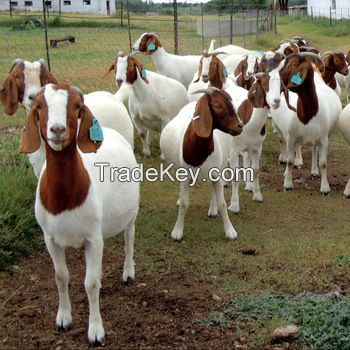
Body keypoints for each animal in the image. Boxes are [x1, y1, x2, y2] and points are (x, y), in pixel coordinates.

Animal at [18, 83, 139, 346]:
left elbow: (91, 284)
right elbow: (61, 276)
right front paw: (63, 319)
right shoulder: (50, 238)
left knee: (129, 237)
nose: (57, 129)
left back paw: (128, 272)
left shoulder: (93, 238)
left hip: (132, 211)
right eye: (39, 106)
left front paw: (95, 331)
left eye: (75, 106)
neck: (65, 199)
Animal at [160, 87, 242, 241]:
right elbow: (184, 204)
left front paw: (230, 231)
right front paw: (177, 232)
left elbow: (222, 203)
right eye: (218, 105)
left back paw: (213, 209)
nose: (240, 126)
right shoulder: (185, 176)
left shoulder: (215, 173)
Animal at [270, 53, 342, 193]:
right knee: (283, 142)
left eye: (292, 64)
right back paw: (285, 165)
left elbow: (323, 163)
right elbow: (290, 161)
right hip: (280, 128)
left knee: (314, 150)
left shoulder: (324, 139)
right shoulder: (291, 137)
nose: (272, 78)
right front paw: (287, 184)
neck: (307, 115)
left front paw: (325, 187)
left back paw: (314, 171)